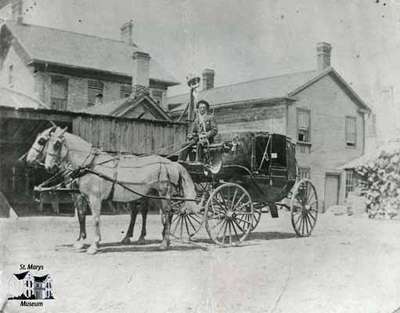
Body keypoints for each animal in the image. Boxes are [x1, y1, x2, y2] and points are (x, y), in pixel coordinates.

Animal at [43, 125, 198, 252]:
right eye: (46, 143)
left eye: (57, 144)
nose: (48, 167)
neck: (91, 165)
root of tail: (171, 163)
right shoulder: (85, 197)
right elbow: (83, 216)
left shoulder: (95, 198)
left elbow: (96, 219)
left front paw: (94, 245)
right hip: (155, 195)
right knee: (161, 214)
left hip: (164, 194)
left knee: (168, 213)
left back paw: (164, 243)